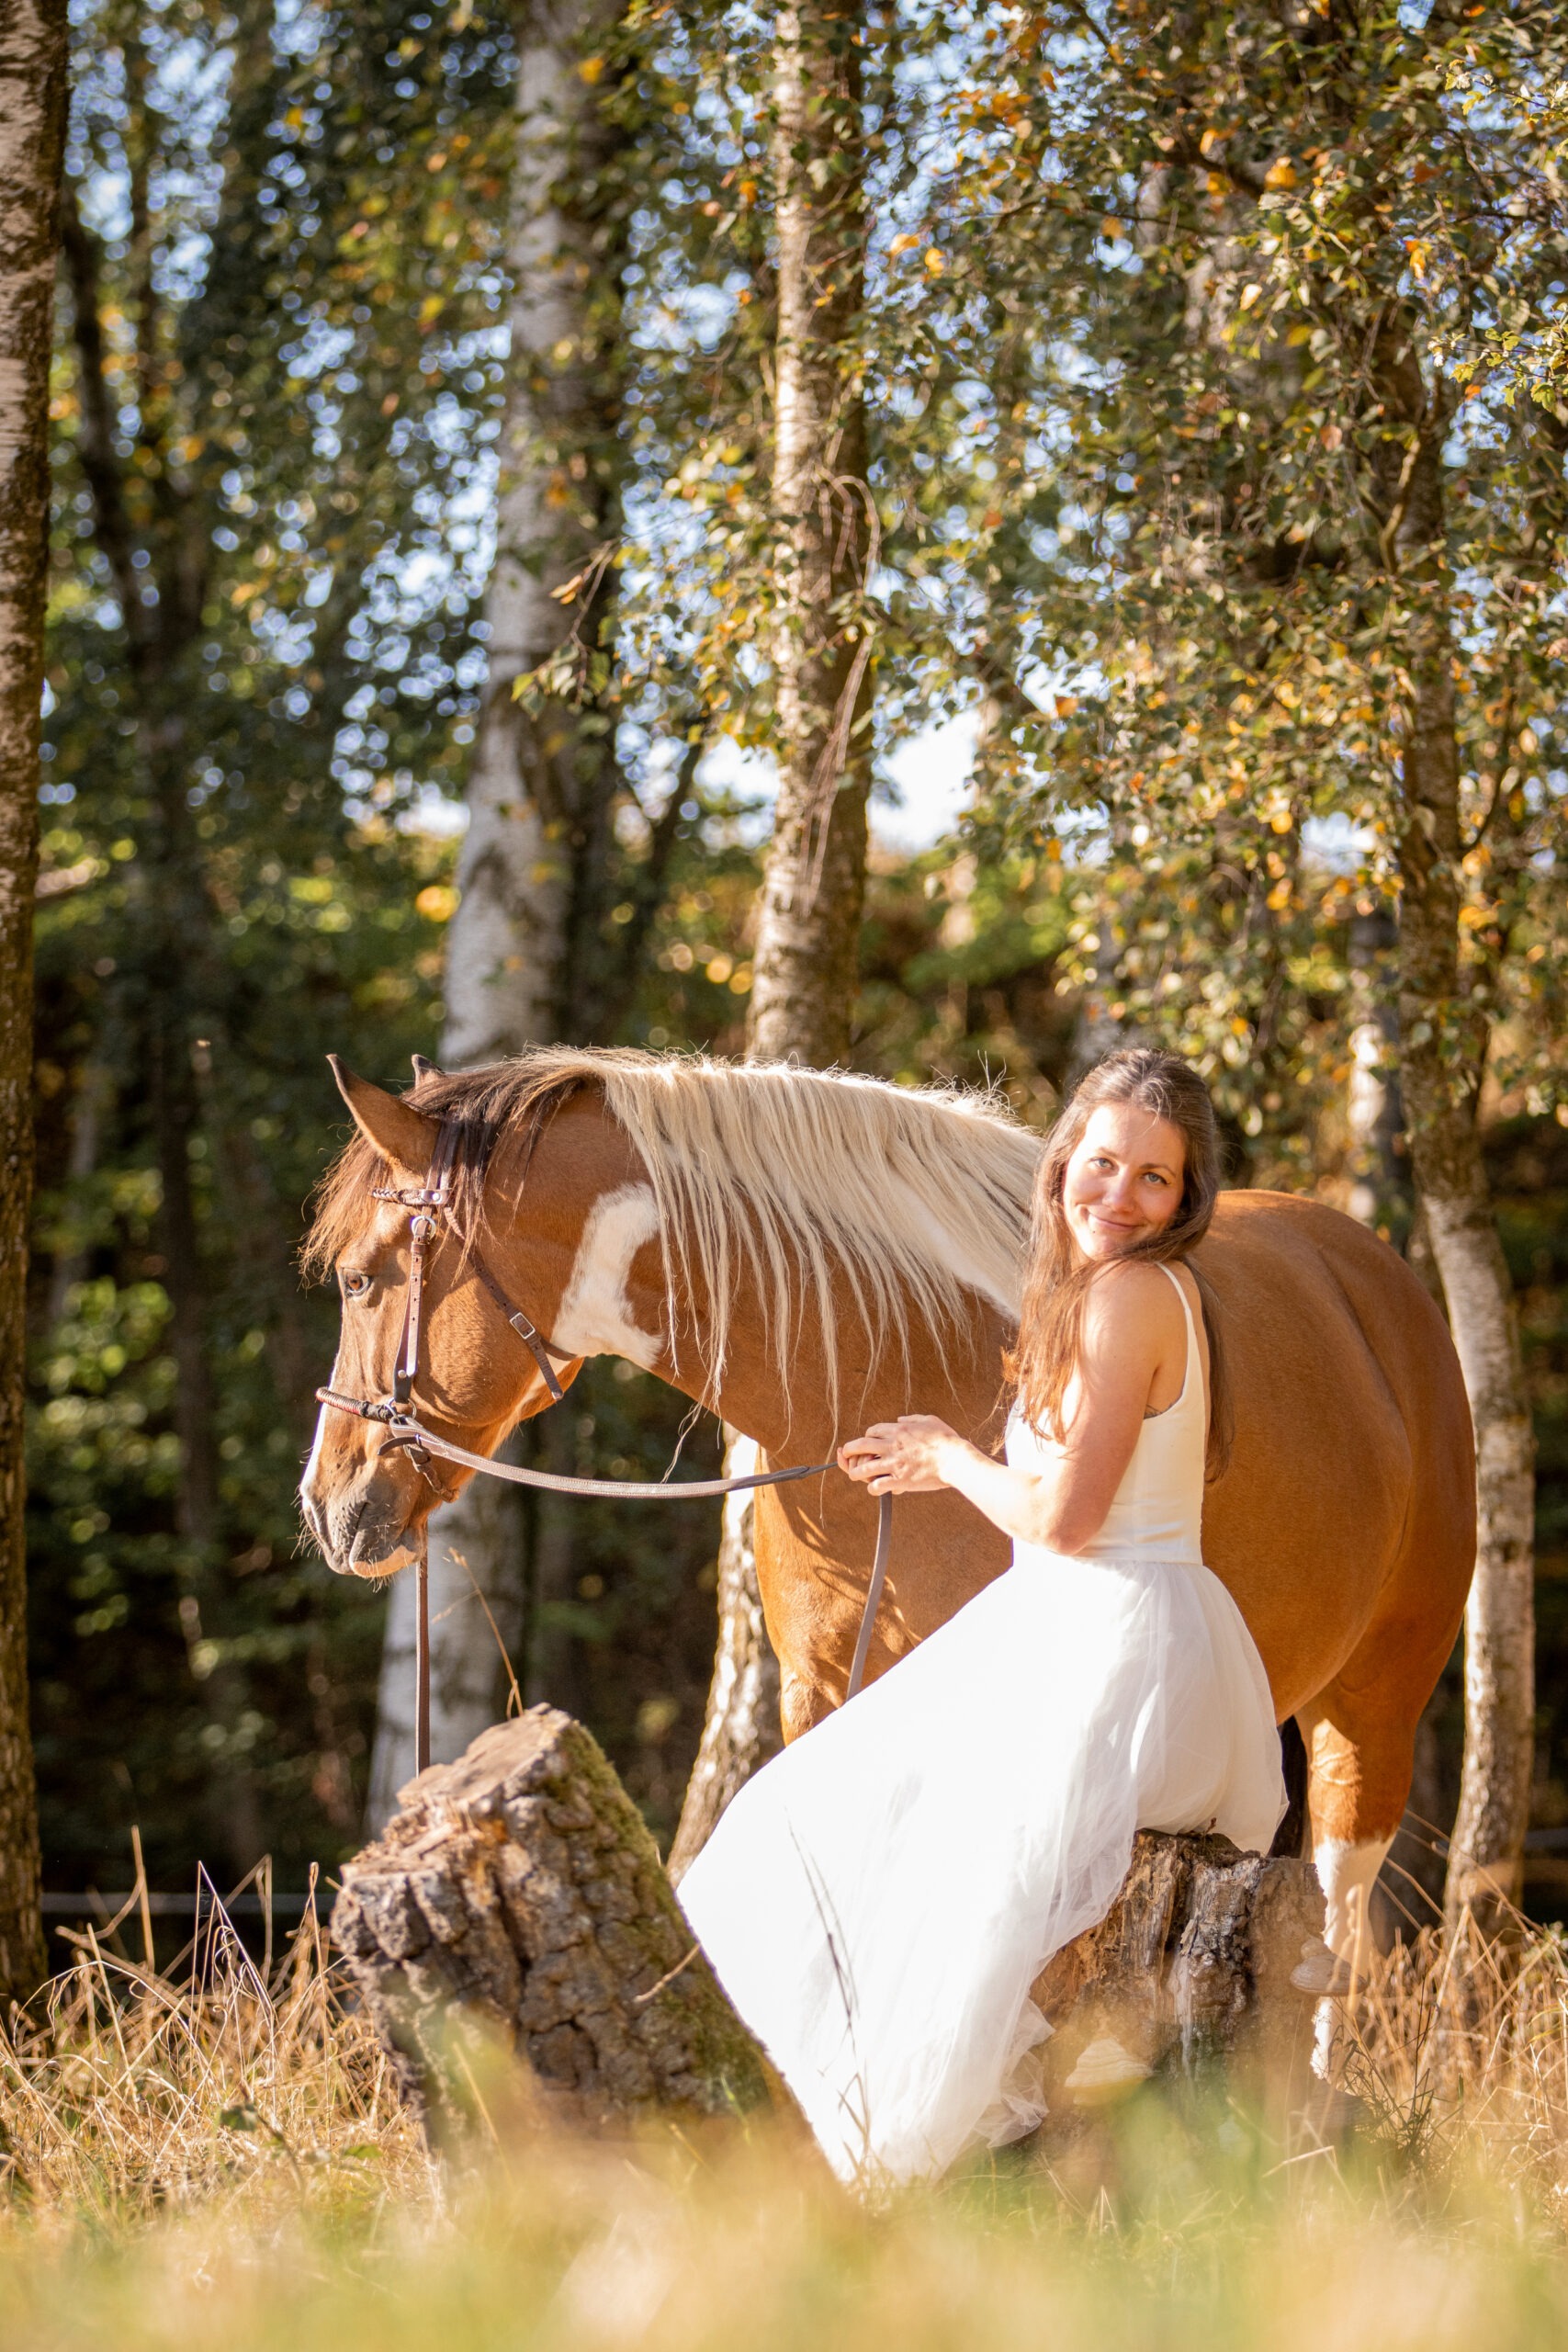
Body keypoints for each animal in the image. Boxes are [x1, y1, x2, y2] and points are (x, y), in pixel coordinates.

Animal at [300, 1045, 1475, 1968]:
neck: (887, 1366)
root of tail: (1382, 1282)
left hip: (1372, 1714)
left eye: (359, 1280)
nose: (329, 1503)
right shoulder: (821, 1694)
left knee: (1336, 1926)